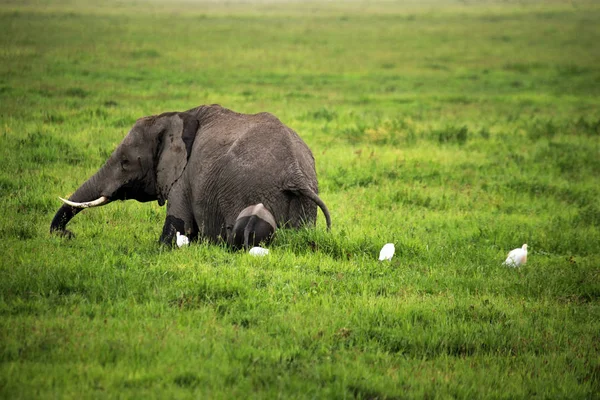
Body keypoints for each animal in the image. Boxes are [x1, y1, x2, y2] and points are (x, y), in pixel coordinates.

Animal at [50, 104, 332, 245]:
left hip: (251, 190)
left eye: (125, 162)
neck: (172, 117)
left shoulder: (182, 180)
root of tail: (294, 171)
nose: (68, 235)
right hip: (303, 200)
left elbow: (176, 227)